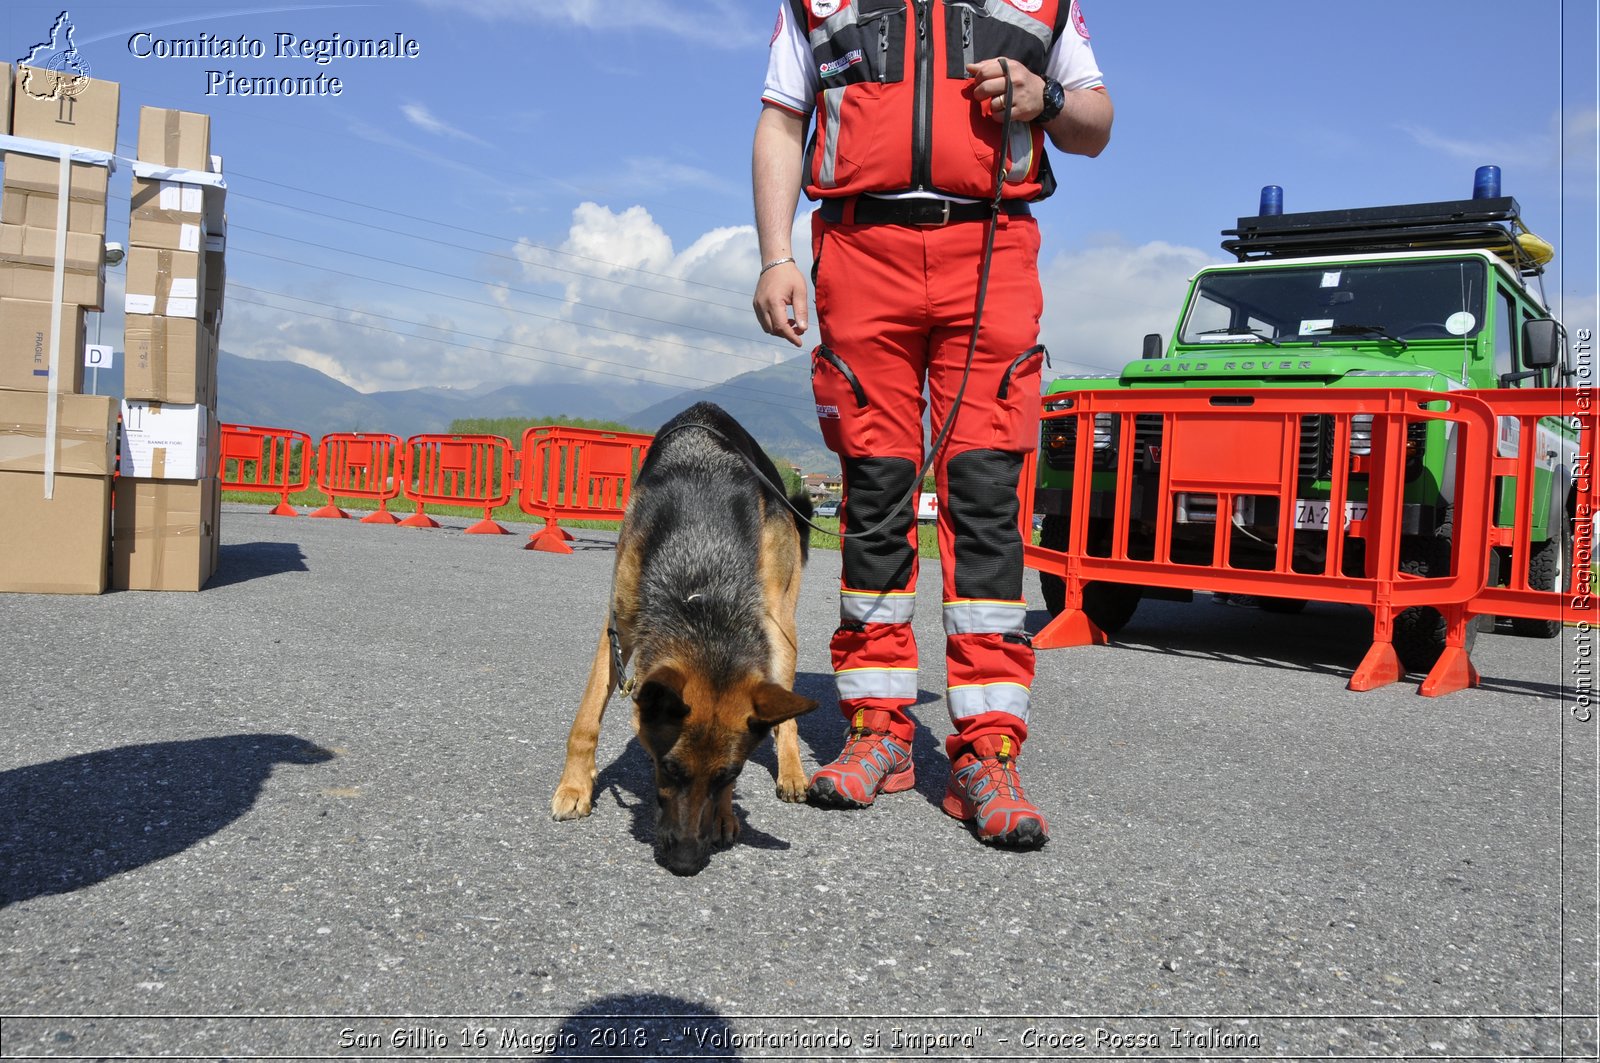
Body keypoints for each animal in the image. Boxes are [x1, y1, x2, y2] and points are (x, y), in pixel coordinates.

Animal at [553, 403, 825, 877]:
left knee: (786, 718)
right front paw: (574, 787)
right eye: (668, 769)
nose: (685, 863)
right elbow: (585, 720)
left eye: (728, 776)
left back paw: (791, 771)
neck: (700, 588)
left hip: (780, 626)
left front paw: (725, 815)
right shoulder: (617, 629)